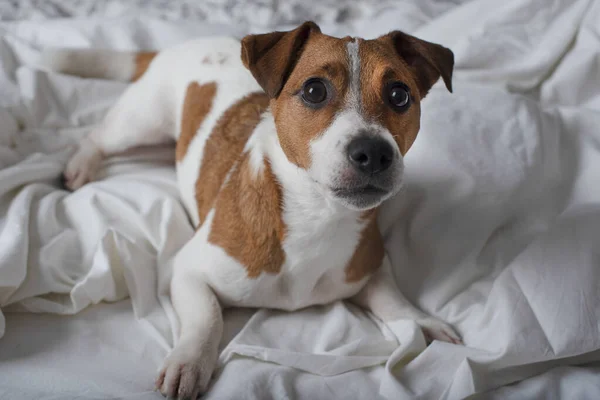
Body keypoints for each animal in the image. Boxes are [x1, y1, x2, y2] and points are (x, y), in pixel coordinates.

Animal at [44, 22, 462, 400]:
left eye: (399, 95)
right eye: (314, 90)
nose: (374, 152)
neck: (317, 216)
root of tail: (181, 44)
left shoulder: (369, 263)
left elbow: (393, 298)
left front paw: (420, 321)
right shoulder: (188, 271)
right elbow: (207, 319)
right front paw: (189, 361)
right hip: (139, 122)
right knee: (98, 137)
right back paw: (81, 165)